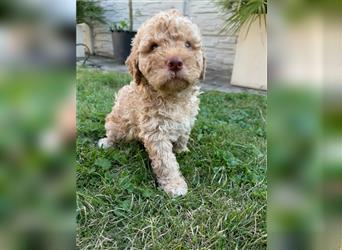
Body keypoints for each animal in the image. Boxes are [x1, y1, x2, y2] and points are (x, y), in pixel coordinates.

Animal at [99, 9, 206, 197]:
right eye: (154, 46)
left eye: (188, 44)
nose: (175, 62)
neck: (173, 97)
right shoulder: (156, 131)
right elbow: (166, 162)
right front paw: (174, 185)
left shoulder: (187, 120)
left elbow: (183, 135)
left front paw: (182, 149)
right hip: (117, 124)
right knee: (112, 133)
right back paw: (107, 142)